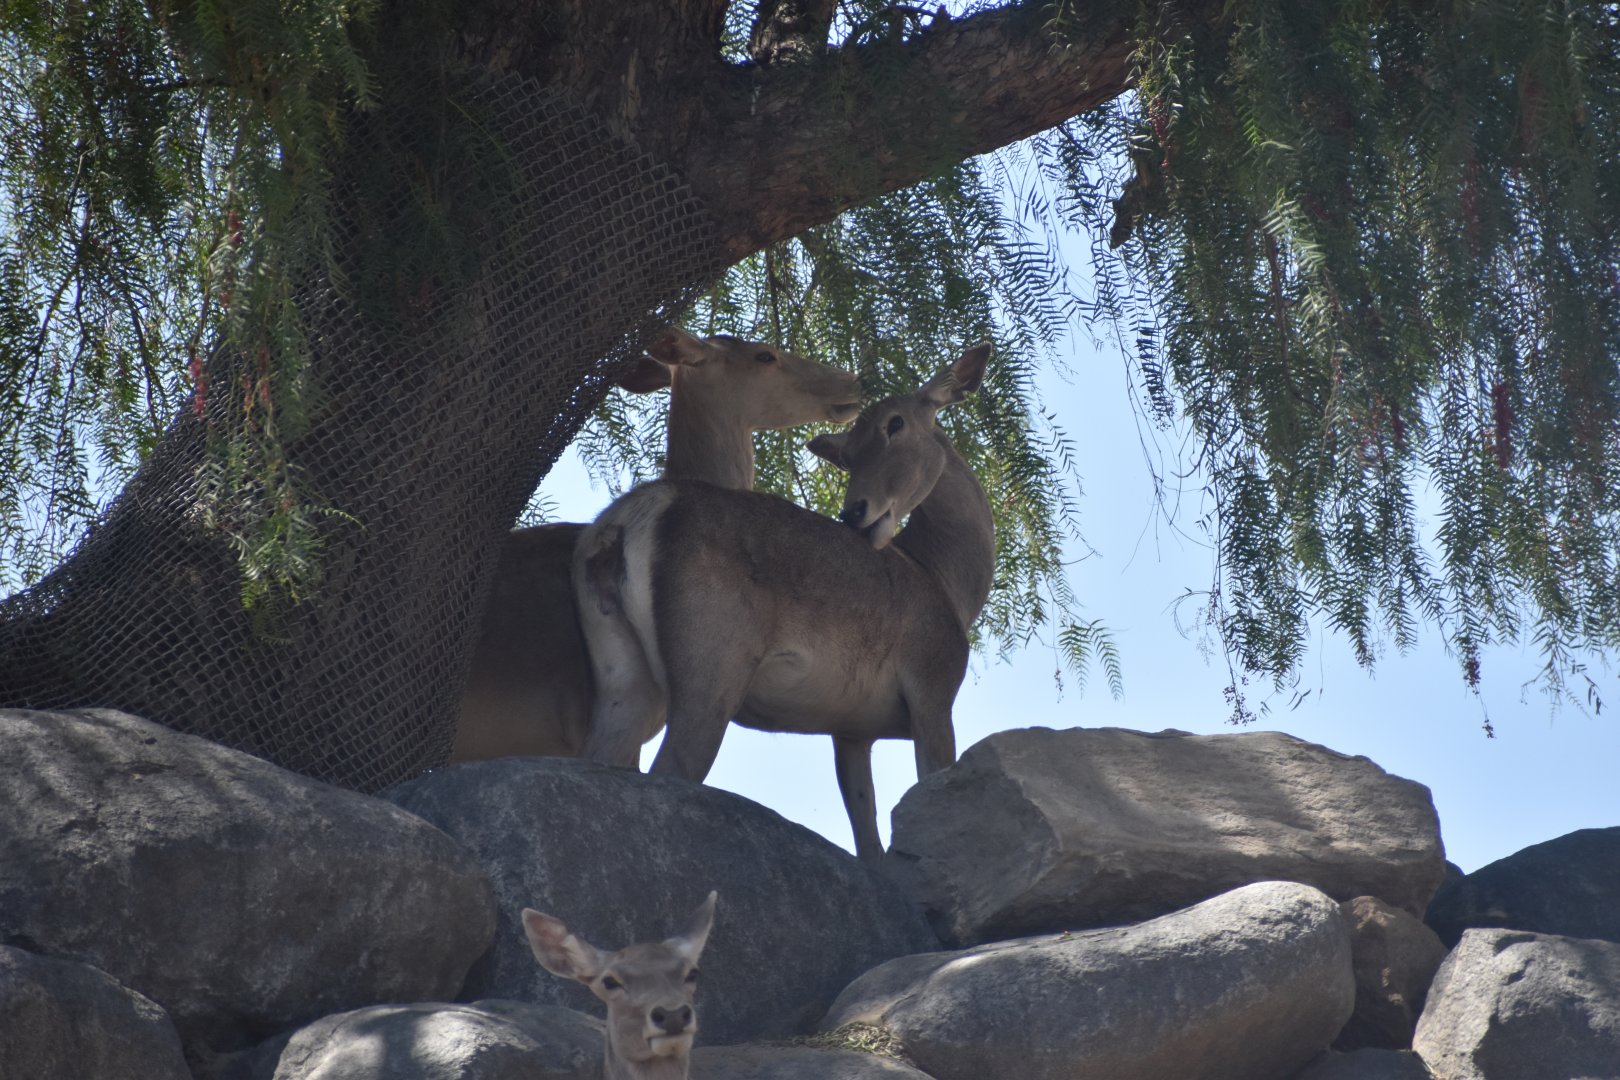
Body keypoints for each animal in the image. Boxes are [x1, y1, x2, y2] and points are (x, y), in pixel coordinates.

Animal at [574, 344, 994, 862]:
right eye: (846, 456)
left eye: (895, 424)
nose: (854, 512)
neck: (948, 584)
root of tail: (624, 521)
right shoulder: (934, 691)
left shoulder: (851, 729)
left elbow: (867, 835)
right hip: (710, 669)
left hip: (622, 679)